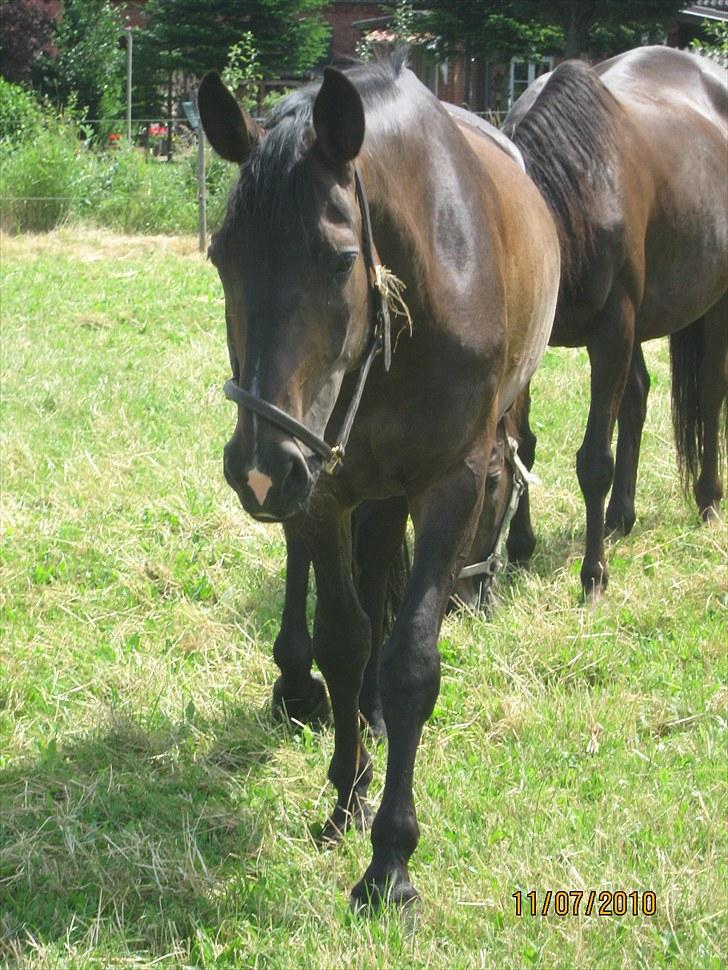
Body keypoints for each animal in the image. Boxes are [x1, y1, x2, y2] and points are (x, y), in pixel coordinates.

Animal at [196, 51, 560, 900]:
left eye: (337, 261)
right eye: (223, 257)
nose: (258, 470)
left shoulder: (447, 483)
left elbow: (410, 664)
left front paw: (391, 858)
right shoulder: (324, 485)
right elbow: (346, 636)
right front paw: (347, 794)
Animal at [504, 47, 724, 596]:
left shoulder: (612, 329)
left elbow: (594, 462)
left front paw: (593, 575)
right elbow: (526, 445)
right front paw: (521, 548)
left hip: (712, 303)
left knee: (711, 393)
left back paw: (709, 498)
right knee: (638, 397)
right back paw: (619, 517)